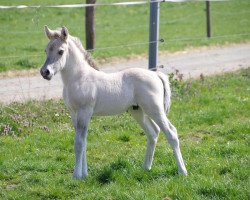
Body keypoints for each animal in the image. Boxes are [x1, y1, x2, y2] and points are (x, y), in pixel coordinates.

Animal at [40, 25, 187, 179]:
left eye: (61, 51)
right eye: (46, 50)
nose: (45, 72)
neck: (80, 78)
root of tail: (155, 74)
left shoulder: (84, 112)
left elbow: (79, 143)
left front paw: (76, 176)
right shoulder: (74, 114)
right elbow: (84, 141)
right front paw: (84, 174)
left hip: (155, 110)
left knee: (171, 132)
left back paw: (182, 171)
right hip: (138, 111)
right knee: (153, 132)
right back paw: (146, 167)